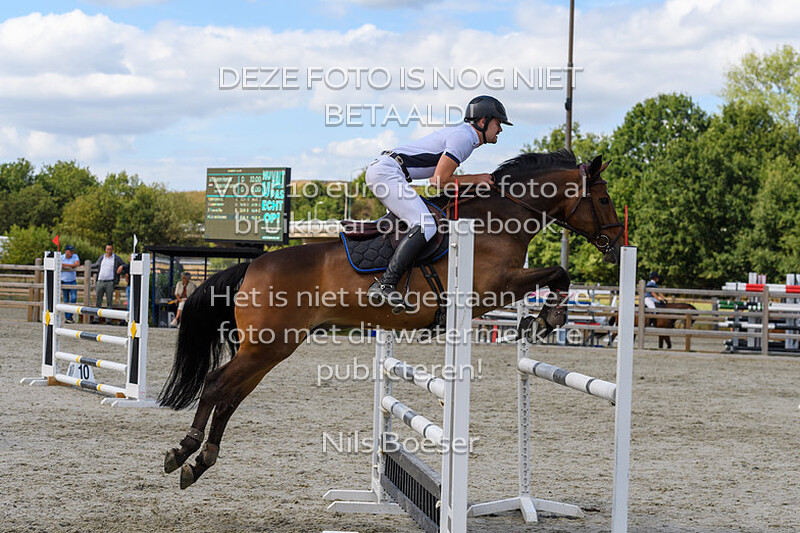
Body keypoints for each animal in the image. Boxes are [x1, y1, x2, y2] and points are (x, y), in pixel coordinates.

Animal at [158, 149, 624, 489]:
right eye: (603, 199)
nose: (618, 248)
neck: (498, 218)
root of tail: (252, 266)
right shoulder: (493, 287)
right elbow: (558, 272)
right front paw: (548, 317)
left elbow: (556, 275)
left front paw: (542, 319)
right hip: (267, 345)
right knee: (216, 384)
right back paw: (183, 452)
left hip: (270, 348)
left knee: (231, 395)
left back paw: (200, 462)